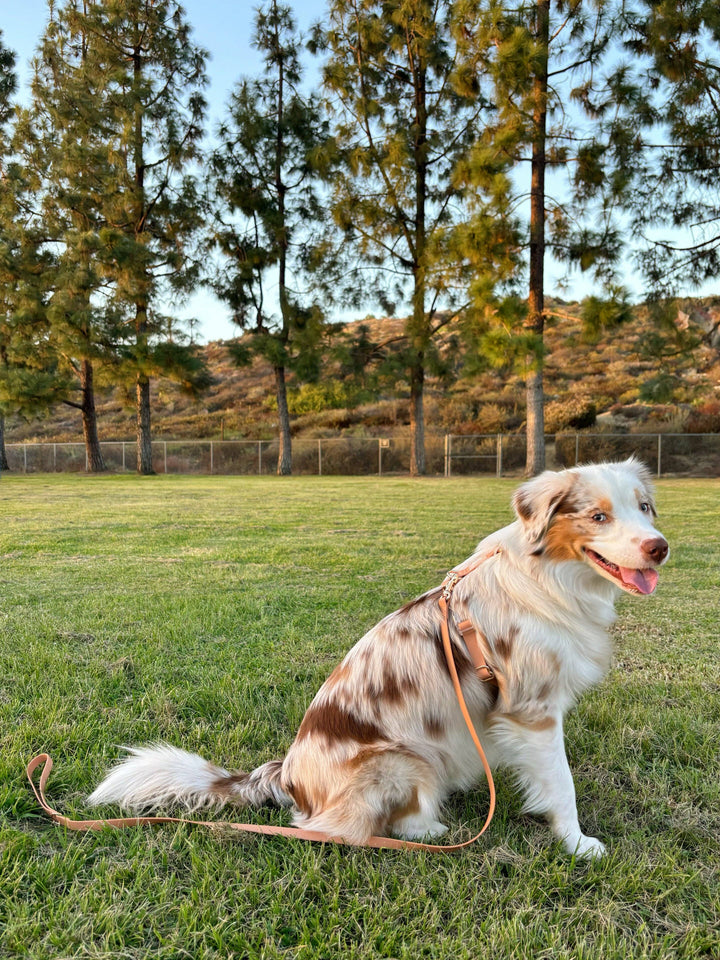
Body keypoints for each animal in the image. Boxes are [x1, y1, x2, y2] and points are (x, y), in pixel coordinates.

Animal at [88, 462, 668, 860]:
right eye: (597, 516)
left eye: (644, 507)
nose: (659, 547)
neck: (550, 576)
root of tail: (286, 777)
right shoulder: (534, 711)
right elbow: (562, 785)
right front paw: (578, 843)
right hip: (406, 759)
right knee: (351, 828)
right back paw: (430, 829)